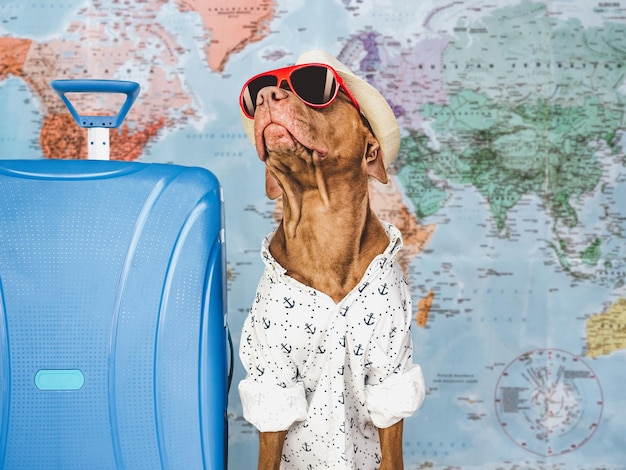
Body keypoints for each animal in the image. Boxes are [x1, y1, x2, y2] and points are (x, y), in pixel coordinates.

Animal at [239, 51, 424, 470]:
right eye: (260, 90)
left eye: (316, 89)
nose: (266, 97)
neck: (322, 231)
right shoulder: (271, 374)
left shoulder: (391, 369)